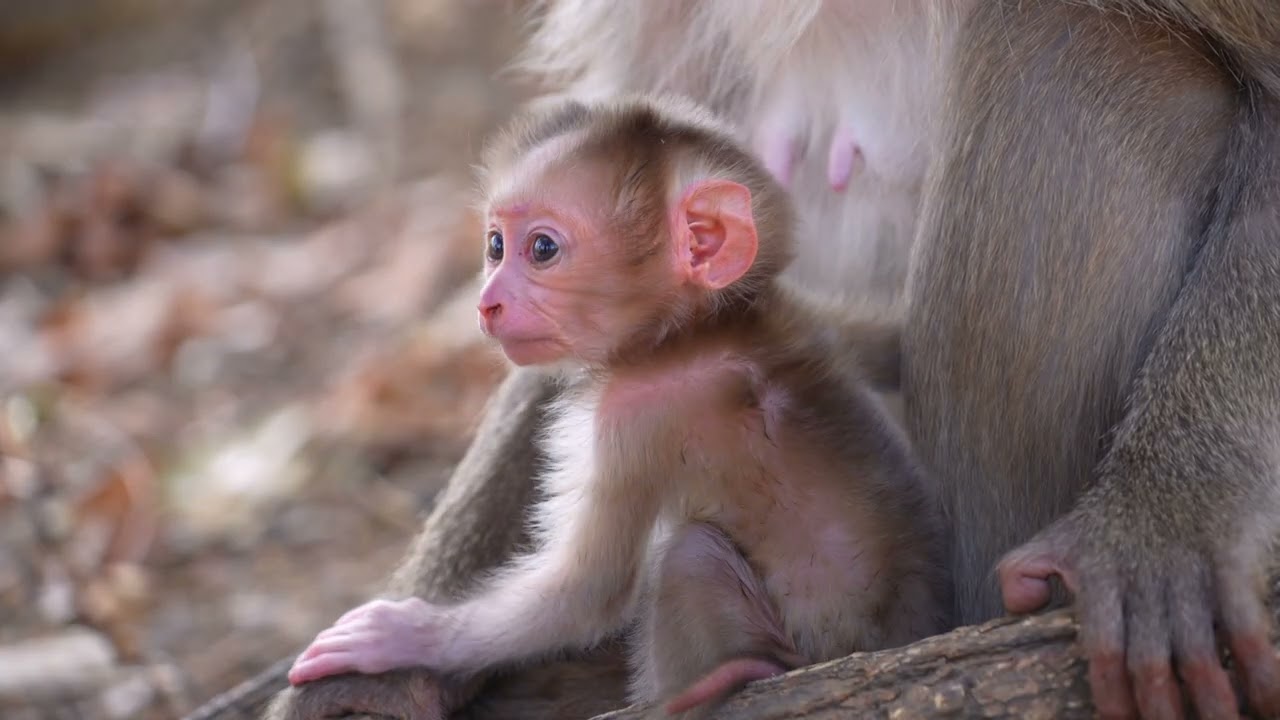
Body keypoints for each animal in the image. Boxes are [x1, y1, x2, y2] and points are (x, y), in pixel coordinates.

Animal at [284, 96, 948, 718]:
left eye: (541, 248)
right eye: (495, 246)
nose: (486, 302)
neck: (693, 331)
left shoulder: (632, 414)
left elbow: (587, 591)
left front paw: (402, 634)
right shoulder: (811, 317)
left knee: (690, 557)